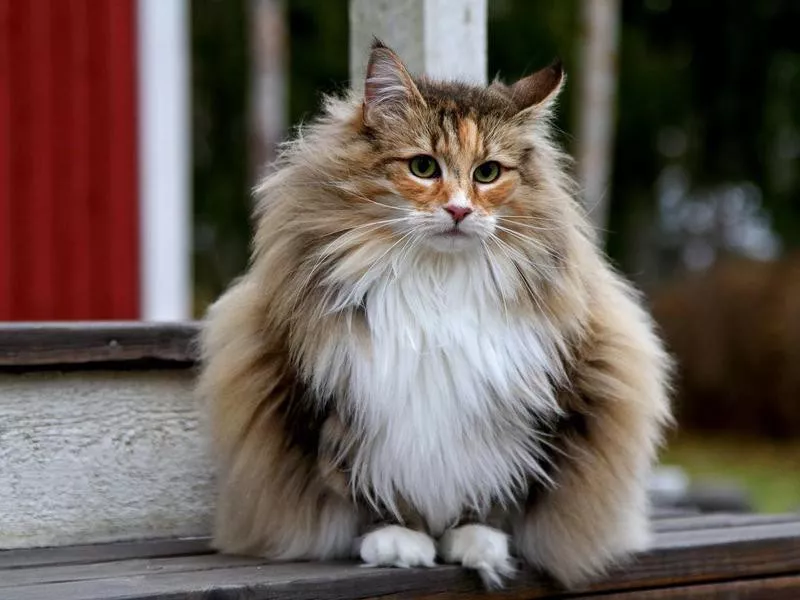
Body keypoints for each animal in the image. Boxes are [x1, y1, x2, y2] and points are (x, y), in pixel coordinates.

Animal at [197, 42, 672, 592]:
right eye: (424, 167)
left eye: (487, 173)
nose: (459, 211)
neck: (437, 284)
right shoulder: (336, 403)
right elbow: (366, 484)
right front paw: (399, 540)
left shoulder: (530, 406)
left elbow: (496, 488)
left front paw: (477, 540)